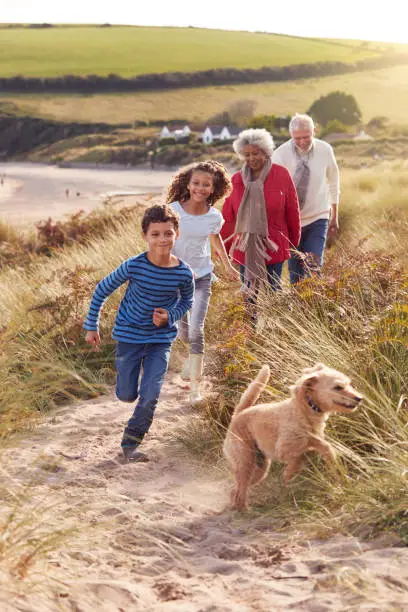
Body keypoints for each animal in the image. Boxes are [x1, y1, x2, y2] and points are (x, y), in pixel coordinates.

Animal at [223, 364, 364, 512]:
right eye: (338, 387)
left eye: (349, 384)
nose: (359, 398)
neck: (306, 408)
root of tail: (238, 415)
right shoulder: (285, 448)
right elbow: (308, 449)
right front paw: (289, 473)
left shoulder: (307, 442)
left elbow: (317, 446)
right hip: (245, 462)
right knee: (240, 490)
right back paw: (245, 510)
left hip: (260, 469)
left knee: (235, 490)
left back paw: (237, 507)